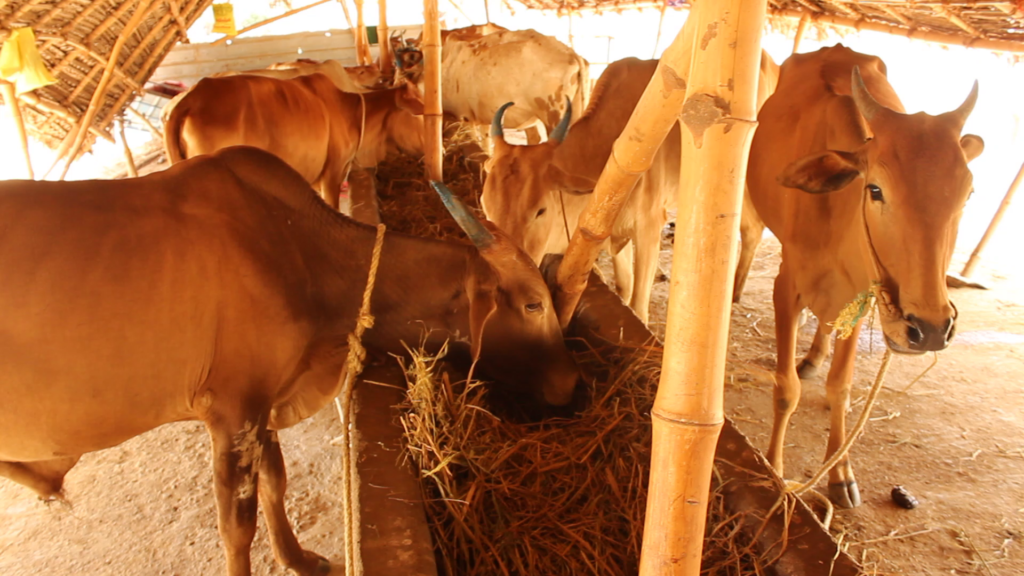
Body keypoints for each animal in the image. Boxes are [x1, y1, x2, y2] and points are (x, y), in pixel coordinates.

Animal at [0, 146, 579, 576]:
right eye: (533, 304)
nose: (571, 383)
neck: (294, 247)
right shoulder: (233, 412)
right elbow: (237, 527)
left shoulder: (267, 402)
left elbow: (276, 482)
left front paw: (298, 559)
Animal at [480, 53, 779, 324]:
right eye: (486, 208)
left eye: (540, 211)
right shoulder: (615, 232)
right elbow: (624, 288)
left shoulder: (648, 228)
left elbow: (638, 303)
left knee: (751, 229)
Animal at [746, 44, 984, 508]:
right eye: (875, 190)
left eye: (967, 195)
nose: (930, 328)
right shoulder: (786, 286)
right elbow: (785, 390)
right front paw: (774, 469)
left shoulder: (865, 297)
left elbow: (841, 386)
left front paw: (839, 472)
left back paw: (814, 356)